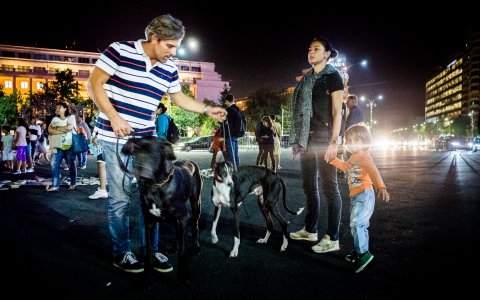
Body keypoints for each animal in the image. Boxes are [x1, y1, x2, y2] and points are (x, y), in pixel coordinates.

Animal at [122, 136, 202, 282]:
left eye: (152, 152)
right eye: (135, 152)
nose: (138, 168)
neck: (156, 186)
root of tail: (190, 161)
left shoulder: (183, 217)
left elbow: (183, 251)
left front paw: (182, 277)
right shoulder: (149, 221)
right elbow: (148, 249)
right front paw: (148, 276)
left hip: (195, 204)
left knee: (195, 226)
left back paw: (196, 247)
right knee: (177, 230)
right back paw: (174, 248)